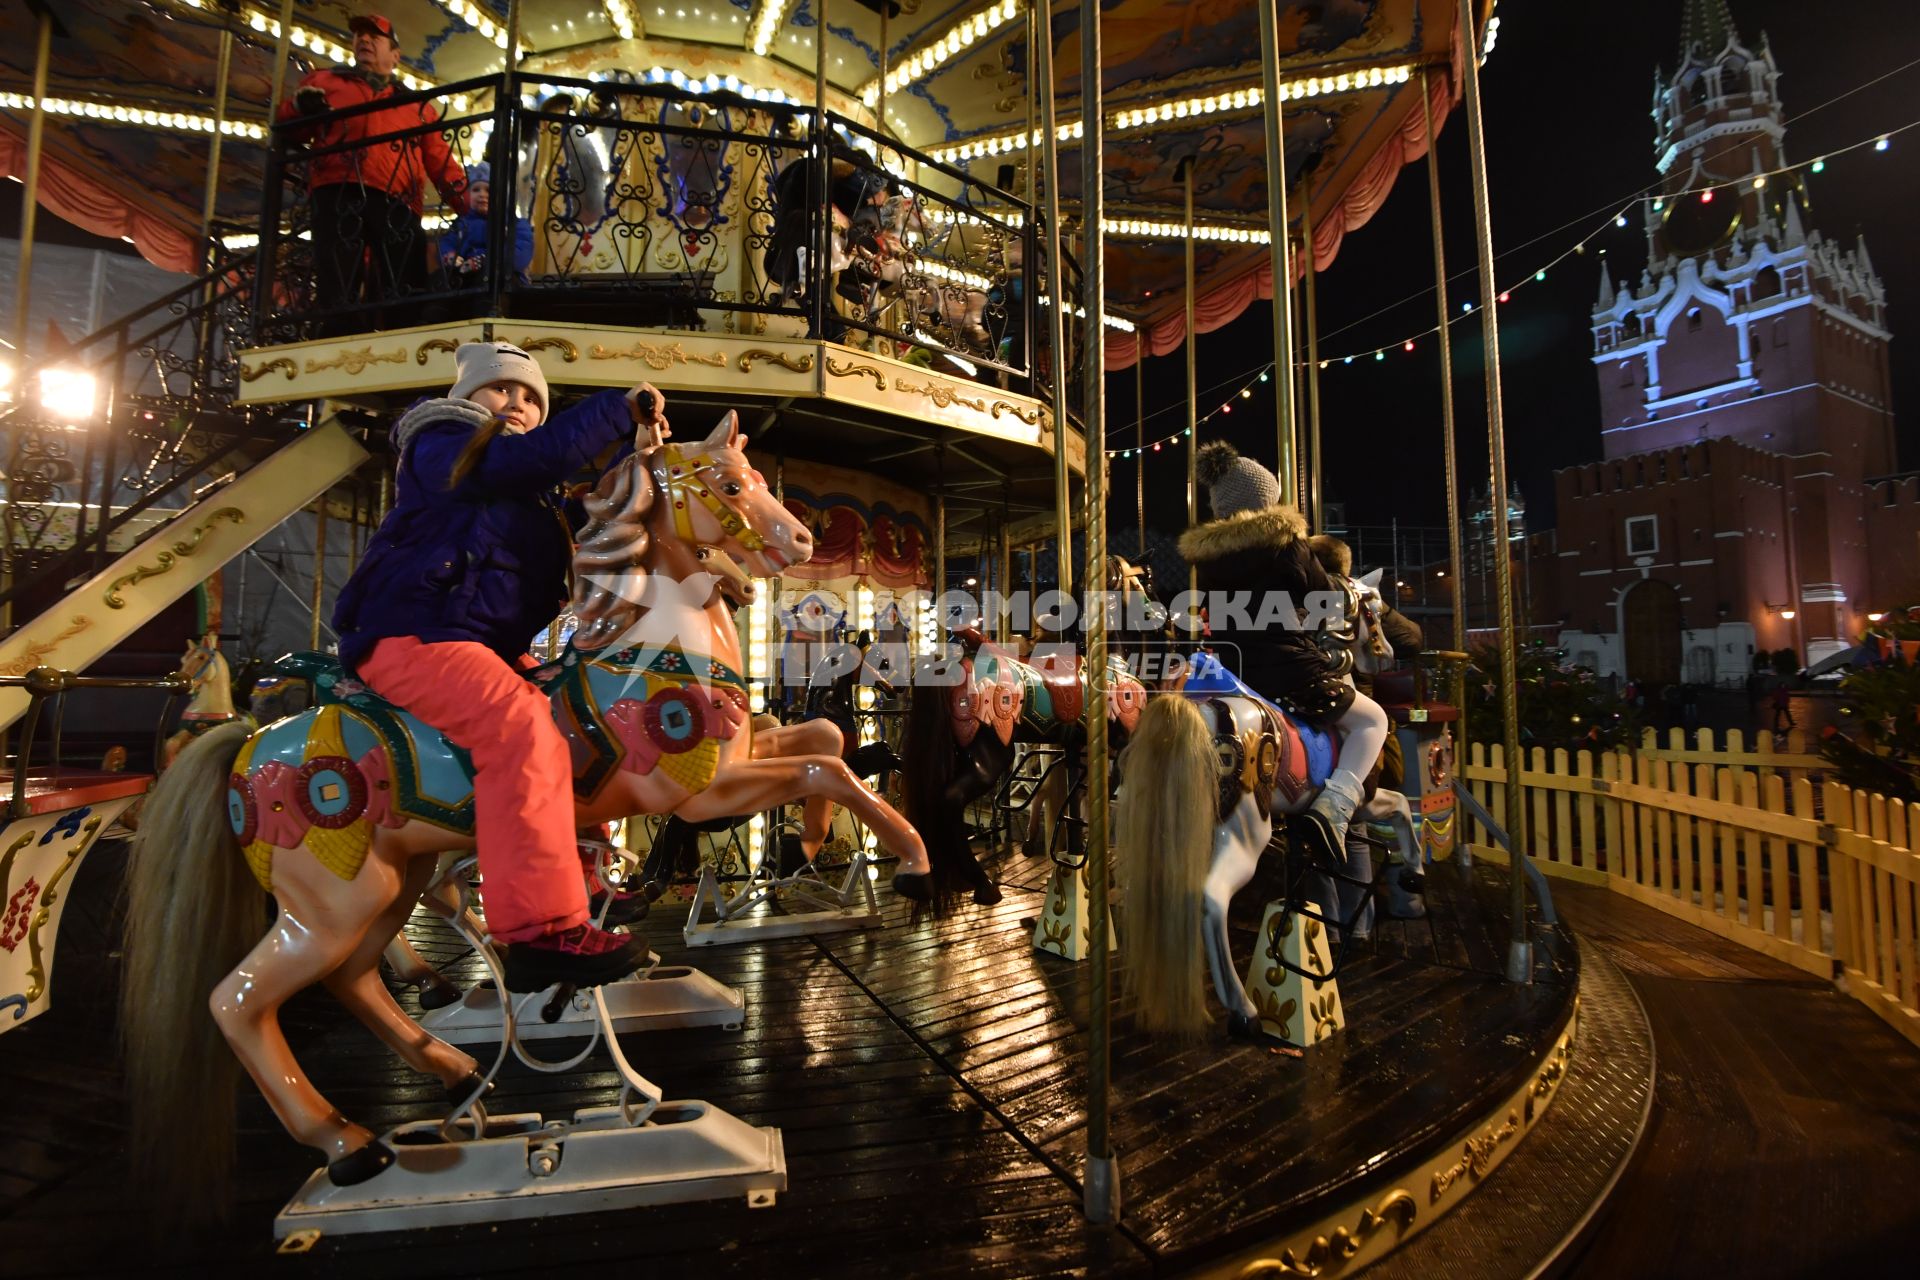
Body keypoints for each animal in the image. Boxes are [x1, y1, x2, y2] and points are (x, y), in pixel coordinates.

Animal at [118, 410, 929, 1212]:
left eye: (761, 477)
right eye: (731, 485)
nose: (800, 543)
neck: (651, 654)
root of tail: (250, 744)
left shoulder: (739, 756)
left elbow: (823, 742)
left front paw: (811, 845)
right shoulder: (700, 794)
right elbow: (825, 765)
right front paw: (912, 867)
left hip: (384, 883)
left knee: (355, 976)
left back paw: (452, 1063)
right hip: (328, 897)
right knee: (241, 1001)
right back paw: (350, 1143)